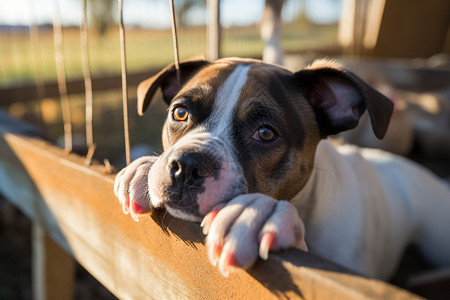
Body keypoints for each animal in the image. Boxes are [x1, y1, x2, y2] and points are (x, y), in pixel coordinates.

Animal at [113, 56, 450, 278]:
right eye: (180, 113)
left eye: (265, 133)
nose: (186, 165)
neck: (309, 201)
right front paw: (143, 169)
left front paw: (259, 214)